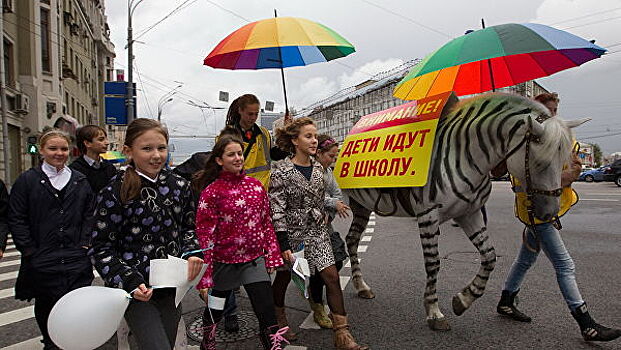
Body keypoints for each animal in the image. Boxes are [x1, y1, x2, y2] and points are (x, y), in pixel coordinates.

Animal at [342, 93, 584, 330]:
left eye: (564, 160)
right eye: (539, 161)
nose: (549, 215)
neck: (463, 155)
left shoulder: (470, 213)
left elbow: (489, 256)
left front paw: (463, 299)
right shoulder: (428, 215)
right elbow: (433, 264)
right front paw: (434, 312)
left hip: (361, 207)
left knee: (352, 240)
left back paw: (361, 286)